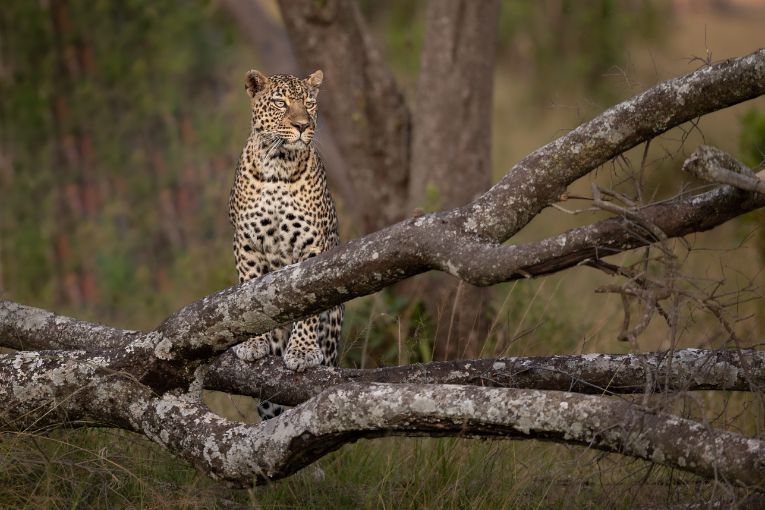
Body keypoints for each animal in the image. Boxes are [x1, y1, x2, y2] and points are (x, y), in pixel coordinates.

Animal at [227, 67, 344, 418]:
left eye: (309, 103)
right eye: (281, 103)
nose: (303, 125)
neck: (278, 165)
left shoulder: (311, 245)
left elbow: (306, 301)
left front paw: (303, 352)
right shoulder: (247, 244)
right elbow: (248, 296)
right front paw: (252, 344)